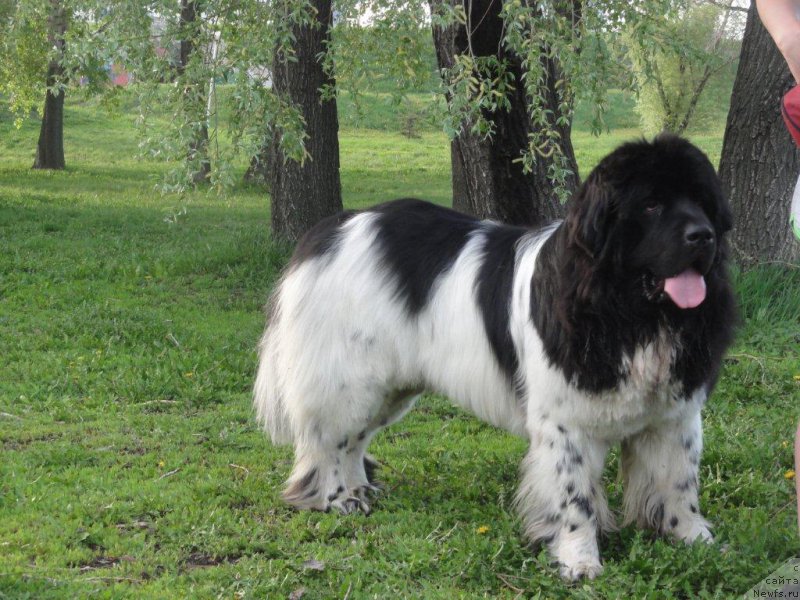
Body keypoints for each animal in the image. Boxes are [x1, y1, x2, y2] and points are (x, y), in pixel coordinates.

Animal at [253, 134, 736, 580]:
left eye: (702, 203)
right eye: (651, 205)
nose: (703, 235)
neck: (633, 314)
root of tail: (335, 228)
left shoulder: (675, 415)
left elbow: (679, 482)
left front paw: (695, 540)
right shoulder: (565, 424)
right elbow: (575, 496)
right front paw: (579, 561)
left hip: (390, 388)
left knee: (353, 439)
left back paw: (360, 491)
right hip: (350, 380)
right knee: (329, 439)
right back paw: (339, 499)